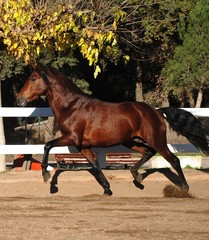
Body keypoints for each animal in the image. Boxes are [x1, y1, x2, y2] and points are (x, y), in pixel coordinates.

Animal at [16, 62, 209, 196]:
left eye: (33, 78)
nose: (19, 99)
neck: (71, 106)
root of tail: (157, 111)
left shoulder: (72, 138)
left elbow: (47, 145)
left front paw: (46, 177)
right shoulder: (82, 146)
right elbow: (95, 166)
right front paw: (107, 189)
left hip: (156, 140)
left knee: (173, 160)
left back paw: (184, 188)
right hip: (131, 141)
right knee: (148, 153)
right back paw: (137, 177)